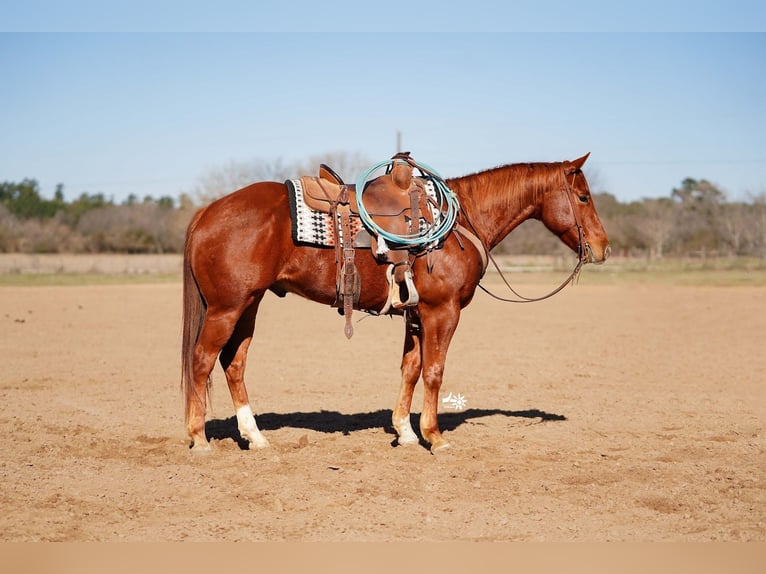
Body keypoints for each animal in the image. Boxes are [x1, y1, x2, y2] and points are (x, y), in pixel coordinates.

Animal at [181, 153, 610, 453]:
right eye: (583, 196)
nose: (603, 247)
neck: (460, 222)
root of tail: (207, 211)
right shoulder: (443, 311)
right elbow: (434, 371)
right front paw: (435, 436)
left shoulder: (416, 313)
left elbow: (410, 369)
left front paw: (405, 432)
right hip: (227, 308)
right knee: (202, 360)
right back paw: (199, 439)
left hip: (248, 305)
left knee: (233, 364)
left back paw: (255, 437)